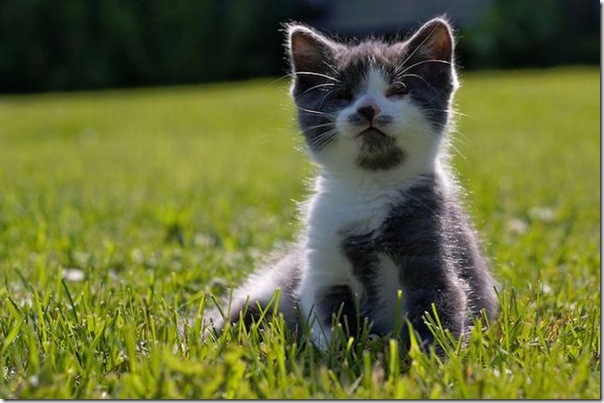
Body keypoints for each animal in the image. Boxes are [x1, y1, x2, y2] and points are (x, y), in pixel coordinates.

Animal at [205, 17, 498, 352]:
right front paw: (336, 354)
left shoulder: (435, 246)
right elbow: (328, 315)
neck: (369, 186)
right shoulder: (323, 264)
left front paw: (430, 359)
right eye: (344, 95)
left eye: (398, 90)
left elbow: (439, 309)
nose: (368, 107)